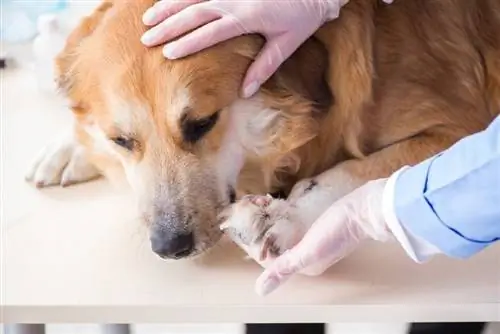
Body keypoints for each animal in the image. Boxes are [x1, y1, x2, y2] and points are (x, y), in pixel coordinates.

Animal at [25, 0, 500, 260]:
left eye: (202, 124)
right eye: (122, 140)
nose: (169, 246)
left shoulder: (459, 123)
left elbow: (352, 171)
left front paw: (287, 217)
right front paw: (70, 146)